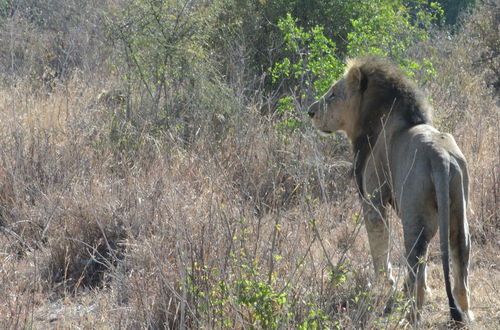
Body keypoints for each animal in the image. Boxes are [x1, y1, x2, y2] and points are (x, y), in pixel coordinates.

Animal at [306, 56, 474, 322]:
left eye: (333, 94)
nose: (311, 112)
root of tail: (441, 158)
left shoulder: (373, 198)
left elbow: (379, 245)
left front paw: (383, 287)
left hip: (414, 214)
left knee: (416, 260)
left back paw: (411, 315)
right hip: (458, 207)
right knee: (460, 255)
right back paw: (465, 314)